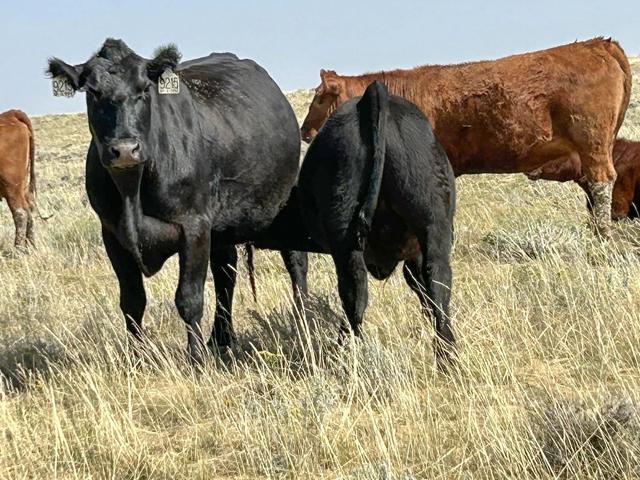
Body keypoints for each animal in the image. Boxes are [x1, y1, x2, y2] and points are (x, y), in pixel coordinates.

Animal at [0, 109, 38, 247]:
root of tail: (10, 114)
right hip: (22, 185)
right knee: (29, 208)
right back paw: (30, 246)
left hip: (11, 185)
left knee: (20, 213)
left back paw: (18, 248)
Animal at [47, 39, 307, 362]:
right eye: (93, 92)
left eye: (144, 89)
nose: (125, 149)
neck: (132, 193)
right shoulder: (112, 235)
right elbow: (132, 301)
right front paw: (138, 360)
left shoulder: (193, 227)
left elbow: (189, 298)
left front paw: (195, 360)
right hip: (221, 227)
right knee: (225, 272)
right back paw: (221, 338)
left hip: (285, 199)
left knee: (295, 260)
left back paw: (303, 319)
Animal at [298, 81, 456, 364]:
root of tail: (372, 95)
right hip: (432, 223)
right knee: (438, 283)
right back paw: (447, 358)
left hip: (345, 241)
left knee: (354, 296)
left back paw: (342, 355)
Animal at [300, 38, 631, 238]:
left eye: (319, 98)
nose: (304, 132)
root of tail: (598, 45)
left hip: (592, 143)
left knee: (601, 182)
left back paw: (601, 235)